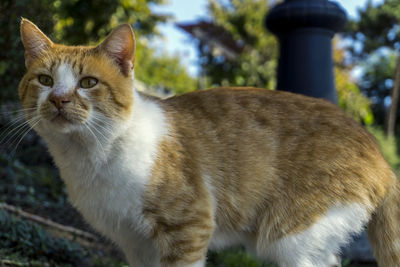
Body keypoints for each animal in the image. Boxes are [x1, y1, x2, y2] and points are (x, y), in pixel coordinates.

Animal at [18, 17, 400, 266]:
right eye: (45, 80)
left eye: (88, 83)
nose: (59, 100)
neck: (91, 157)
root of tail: (380, 155)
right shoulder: (135, 244)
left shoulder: (189, 227)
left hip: (291, 238)